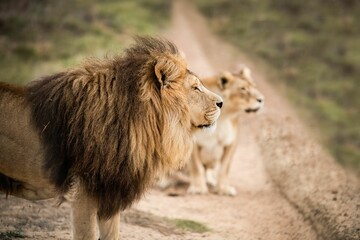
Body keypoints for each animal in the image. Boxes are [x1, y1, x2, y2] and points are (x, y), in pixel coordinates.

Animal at [188, 65, 262, 195]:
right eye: (243, 89)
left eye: (254, 86)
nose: (261, 99)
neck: (223, 116)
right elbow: (197, 167)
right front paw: (198, 188)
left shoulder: (231, 144)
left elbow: (224, 169)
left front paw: (224, 189)